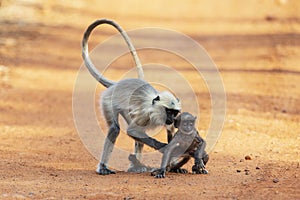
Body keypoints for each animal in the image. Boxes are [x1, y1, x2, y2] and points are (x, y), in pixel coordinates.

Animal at [81, 19, 180, 175]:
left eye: (174, 112)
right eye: (168, 111)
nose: (171, 118)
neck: (154, 106)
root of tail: (116, 84)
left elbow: (170, 132)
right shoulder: (145, 114)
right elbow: (132, 131)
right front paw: (162, 148)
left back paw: (135, 166)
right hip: (108, 100)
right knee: (115, 129)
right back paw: (103, 167)